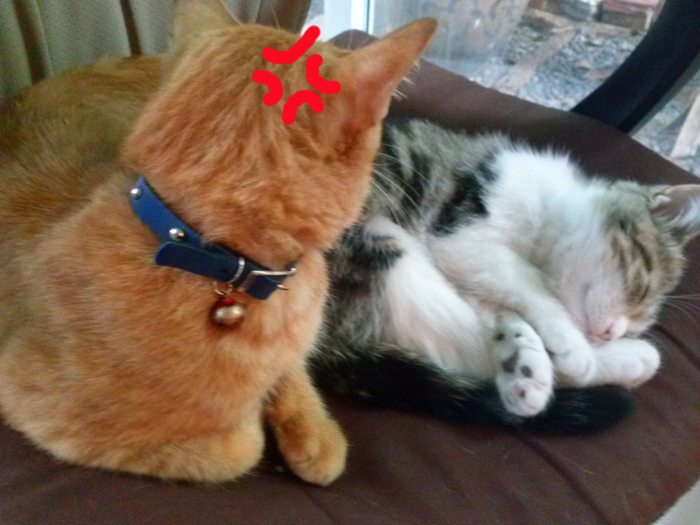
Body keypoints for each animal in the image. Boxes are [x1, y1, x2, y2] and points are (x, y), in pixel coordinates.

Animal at [0, 0, 436, 484]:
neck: (211, 254)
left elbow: (293, 370)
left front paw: (311, 429)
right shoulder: (31, 403)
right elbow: (242, 446)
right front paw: (260, 416)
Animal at [313, 117, 700, 433]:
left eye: (636, 322)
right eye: (641, 288)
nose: (611, 334)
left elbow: (495, 303)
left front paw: (523, 345)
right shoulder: (462, 234)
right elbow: (528, 280)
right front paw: (571, 346)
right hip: (378, 239)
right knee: (463, 349)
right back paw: (624, 359)